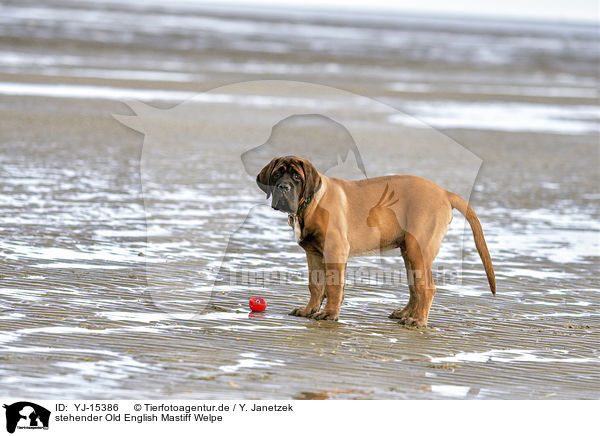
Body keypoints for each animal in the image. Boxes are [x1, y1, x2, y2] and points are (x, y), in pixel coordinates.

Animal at [255, 155, 494, 326]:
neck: (309, 204)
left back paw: (418, 320)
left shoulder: (335, 251)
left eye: (297, 177)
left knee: (427, 288)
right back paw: (404, 314)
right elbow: (315, 285)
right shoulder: (313, 253)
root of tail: (445, 192)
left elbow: (333, 286)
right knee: (415, 287)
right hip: (409, 252)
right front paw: (308, 310)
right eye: (277, 174)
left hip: (418, 249)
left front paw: (329, 314)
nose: (283, 188)